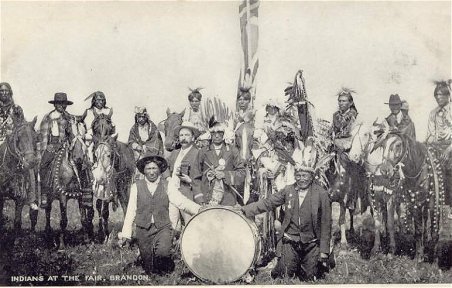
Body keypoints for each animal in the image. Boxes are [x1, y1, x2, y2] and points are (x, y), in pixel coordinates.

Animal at [42, 116, 95, 249]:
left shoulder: (81, 195)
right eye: (68, 132)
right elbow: (64, 220)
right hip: (48, 197)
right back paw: (48, 234)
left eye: (84, 132)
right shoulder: (62, 196)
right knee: (47, 212)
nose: (79, 158)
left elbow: (83, 219)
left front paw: (86, 241)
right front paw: (61, 245)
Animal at [91, 111, 134, 242]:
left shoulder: (124, 188)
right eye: (95, 128)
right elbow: (101, 208)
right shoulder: (102, 188)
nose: (99, 176)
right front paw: (102, 234)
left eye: (110, 128)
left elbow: (126, 206)